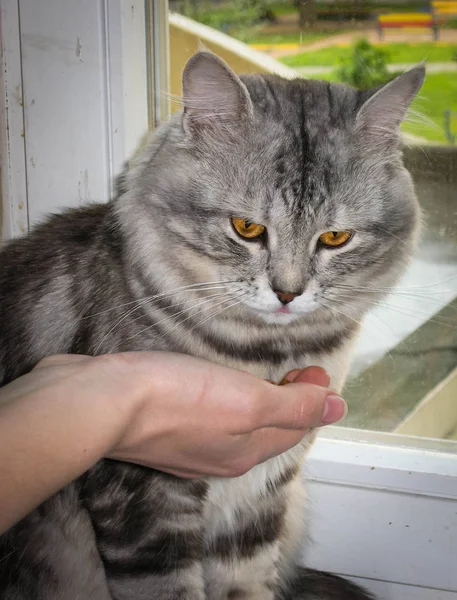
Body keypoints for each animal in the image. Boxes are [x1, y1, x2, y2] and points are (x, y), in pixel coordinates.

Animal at [0, 52, 424, 600]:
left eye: (335, 237)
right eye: (247, 229)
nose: (288, 293)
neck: (270, 352)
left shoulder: (261, 498)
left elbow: (245, 581)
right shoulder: (143, 500)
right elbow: (169, 586)